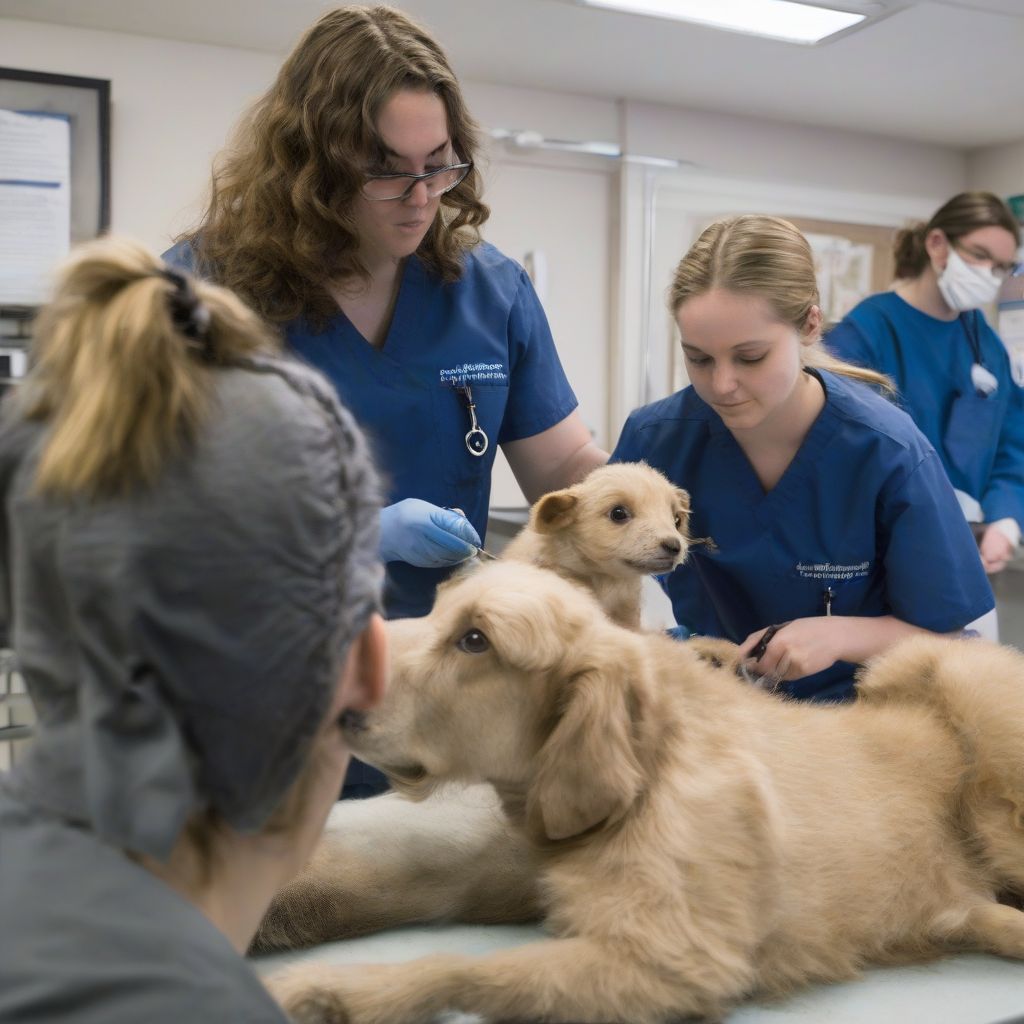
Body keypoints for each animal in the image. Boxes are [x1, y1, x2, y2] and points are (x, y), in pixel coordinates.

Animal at [268, 561, 1024, 1024]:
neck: (642, 763)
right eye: (438, 612)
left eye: (475, 639)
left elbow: (464, 968)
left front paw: (331, 989)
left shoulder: (675, 961)